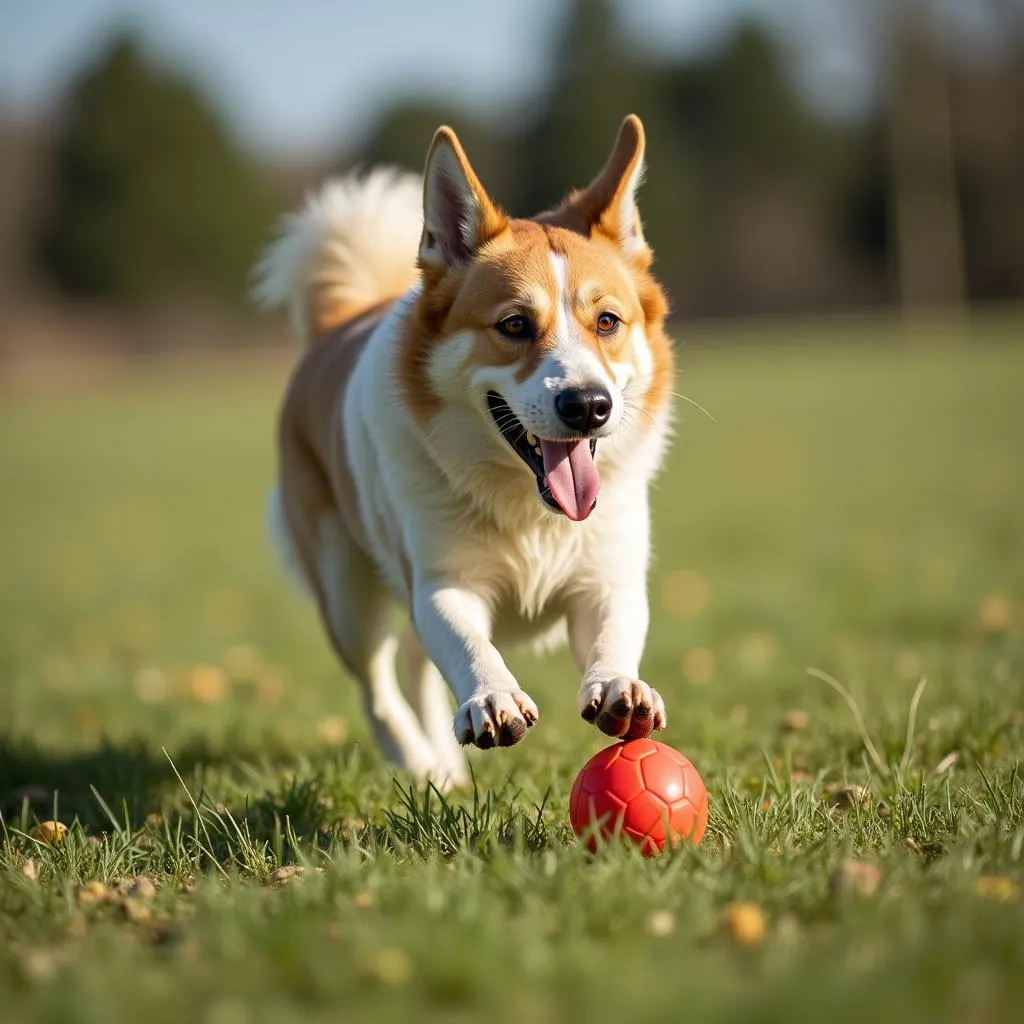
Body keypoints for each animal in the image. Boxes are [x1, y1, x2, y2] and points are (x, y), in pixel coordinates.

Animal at [252, 114, 675, 782]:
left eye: (607, 322)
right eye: (514, 325)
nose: (588, 405)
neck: (529, 510)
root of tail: (338, 321)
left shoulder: (606, 580)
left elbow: (613, 636)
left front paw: (620, 689)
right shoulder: (442, 583)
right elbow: (468, 644)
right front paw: (492, 699)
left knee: (414, 669)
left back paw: (445, 769)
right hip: (346, 593)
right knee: (379, 689)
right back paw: (421, 764)